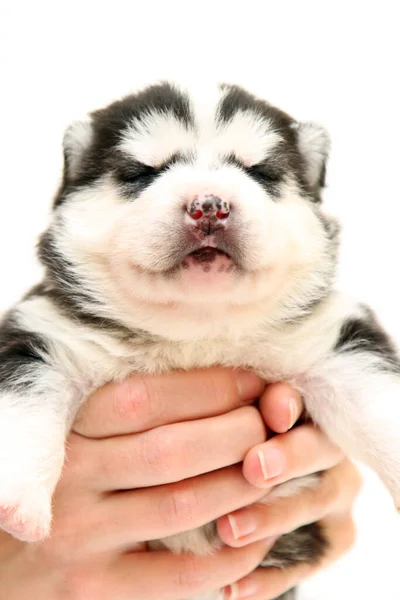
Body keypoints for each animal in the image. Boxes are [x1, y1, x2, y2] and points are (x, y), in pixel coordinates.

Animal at [0, 82, 400, 596]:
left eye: (259, 172)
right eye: (142, 172)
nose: (209, 205)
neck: (197, 331)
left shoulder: (334, 342)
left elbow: (377, 404)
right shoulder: (45, 336)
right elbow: (25, 405)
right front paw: (16, 502)